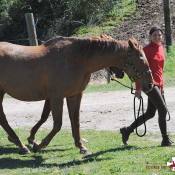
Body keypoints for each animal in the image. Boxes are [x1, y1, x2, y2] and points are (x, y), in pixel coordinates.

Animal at [0, 35, 153, 153]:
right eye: (140, 59)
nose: (150, 84)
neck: (75, 59)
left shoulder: (74, 95)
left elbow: (75, 120)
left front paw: (80, 146)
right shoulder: (56, 97)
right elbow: (57, 124)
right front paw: (39, 145)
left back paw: (18, 143)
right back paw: (21, 145)